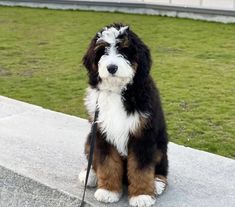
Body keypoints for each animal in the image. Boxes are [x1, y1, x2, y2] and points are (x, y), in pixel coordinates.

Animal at [80, 23, 168, 207]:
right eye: (102, 51)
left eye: (124, 50)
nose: (112, 67)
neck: (117, 90)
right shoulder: (102, 133)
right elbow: (107, 163)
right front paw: (108, 191)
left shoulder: (143, 135)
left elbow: (141, 168)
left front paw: (142, 195)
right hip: (90, 139)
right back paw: (90, 175)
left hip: (160, 146)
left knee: (162, 168)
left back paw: (157, 183)